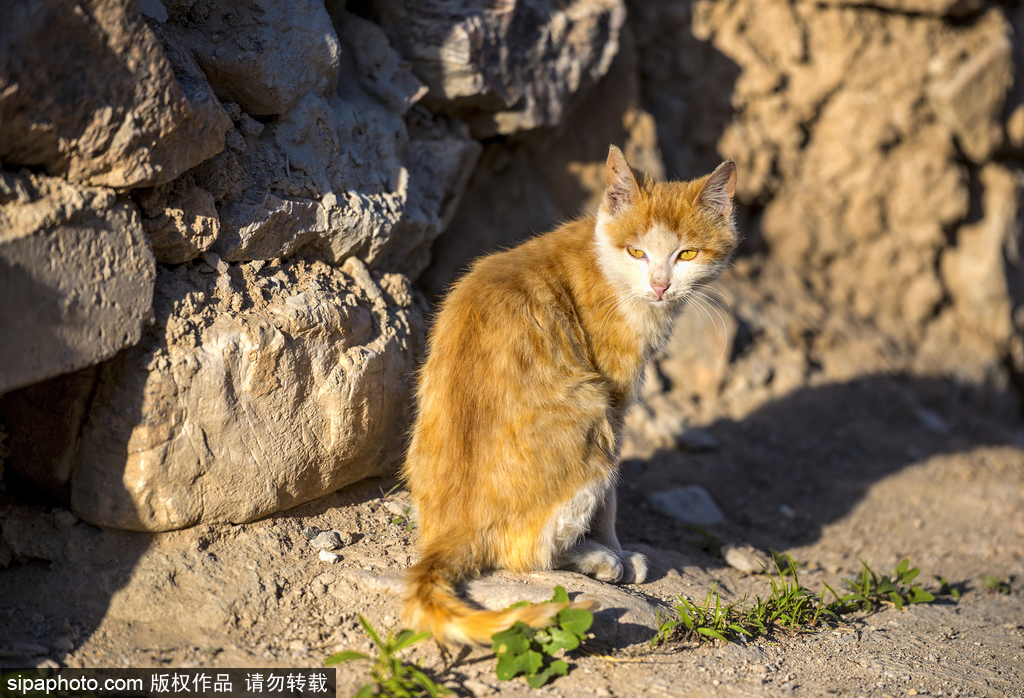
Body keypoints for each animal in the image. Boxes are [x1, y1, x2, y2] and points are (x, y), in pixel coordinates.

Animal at [397, 144, 737, 642]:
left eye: (687, 253)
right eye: (637, 251)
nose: (660, 285)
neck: (604, 263)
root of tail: (450, 531)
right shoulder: (615, 401)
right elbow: (612, 497)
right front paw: (617, 548)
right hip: (590, 415)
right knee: (526, 553)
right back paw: (599, 559)